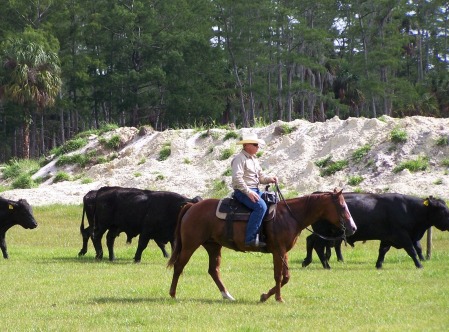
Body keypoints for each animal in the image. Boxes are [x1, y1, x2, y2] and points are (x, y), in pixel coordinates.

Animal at [166, 188, 356, 302]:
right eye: (342, 206)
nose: (353, 228)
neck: (289, 216)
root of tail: (192, 206)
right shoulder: (278, 251)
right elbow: (278, 276)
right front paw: (278, 298)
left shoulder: (283, 252)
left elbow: (286, 276)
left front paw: (265, 296)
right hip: (190, 245)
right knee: (179, 266)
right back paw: (173, 294)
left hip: (213, 246)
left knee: (213, 270)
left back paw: (227, 295)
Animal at [300, 193, 448, 268]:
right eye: (442, 209)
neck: (408, 209)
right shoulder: (402, 235)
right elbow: (412, 249)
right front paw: (419, 265)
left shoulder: (388, 237)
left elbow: (383, 251)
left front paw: (378, 265)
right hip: (324, 232)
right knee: (318, 246)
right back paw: (325, 265)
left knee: (311, 241)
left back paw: (309, 261)